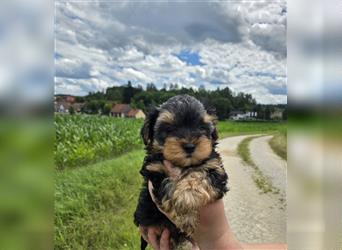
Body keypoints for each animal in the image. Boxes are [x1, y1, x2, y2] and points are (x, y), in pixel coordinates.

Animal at [133, 94, 227, 249]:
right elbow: (169, 185)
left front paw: (188, 195)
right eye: (169, 128)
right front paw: (185, 212)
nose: (189, 146)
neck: (183, 165)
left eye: (201, 127)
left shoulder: (215, 167)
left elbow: (199, 175)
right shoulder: (155, 170)